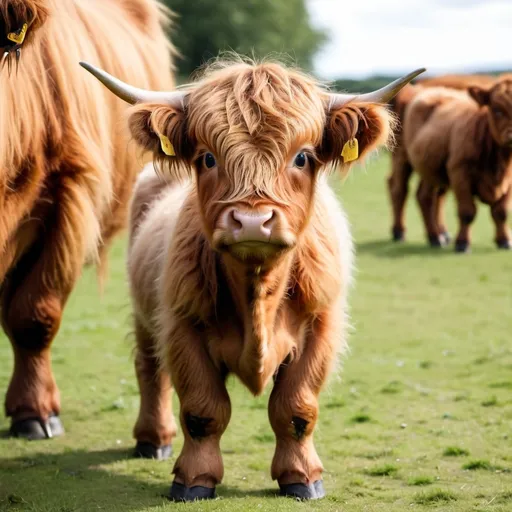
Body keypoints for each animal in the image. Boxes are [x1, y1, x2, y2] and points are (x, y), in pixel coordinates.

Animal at [80, 57, 424, 500]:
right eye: (207, 158)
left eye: (302, 157)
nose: (251, 221)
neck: (257, 291)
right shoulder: (182, 326)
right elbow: (202, 410)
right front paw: (194, 480)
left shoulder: (321, 328)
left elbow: (296, 408)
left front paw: (302, 478)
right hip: (146, 315)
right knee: (150, 369)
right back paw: (152, 440)